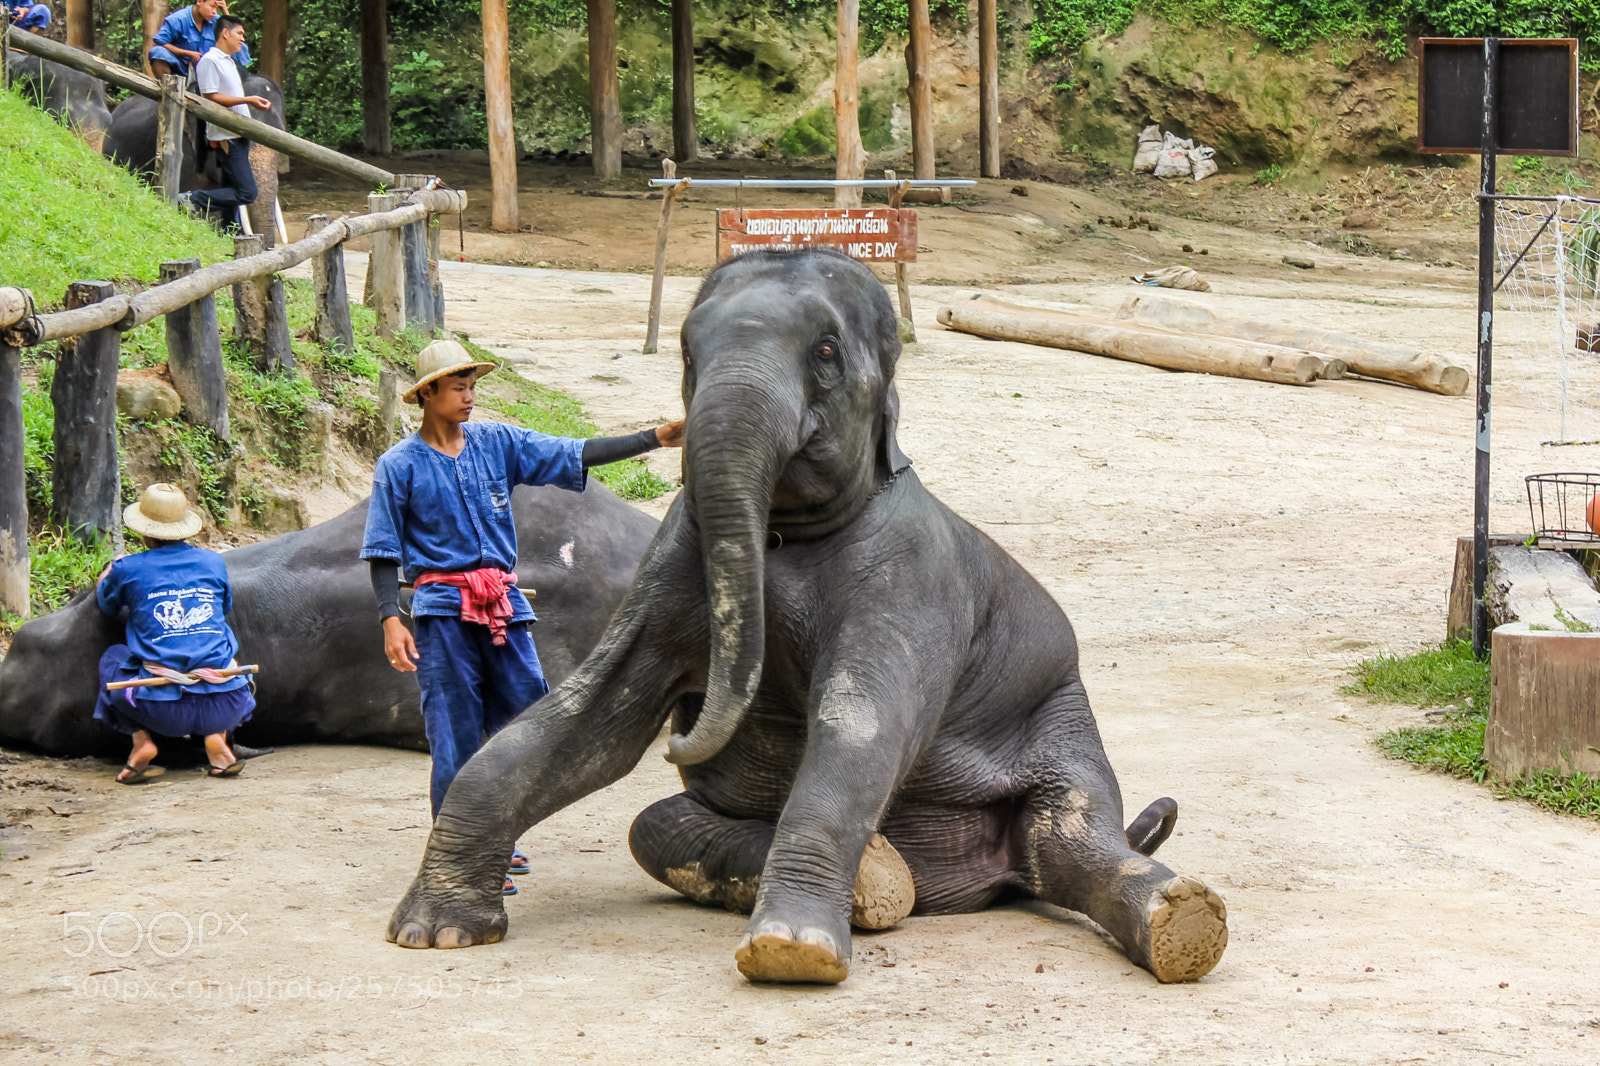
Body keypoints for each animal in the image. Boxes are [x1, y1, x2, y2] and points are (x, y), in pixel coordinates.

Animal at [383, 248, 1230, 987]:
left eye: (825, 350)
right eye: (686, 351)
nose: (684, 732)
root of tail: (981, 885)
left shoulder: (914, 577)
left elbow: (861, 725)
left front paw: (792, 953)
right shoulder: (675, 554)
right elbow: (594, 714)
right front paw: (435, 933)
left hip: (1061, 724)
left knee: (1070, 837)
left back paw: (1181, 922)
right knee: (655, 826)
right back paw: (883, 880)